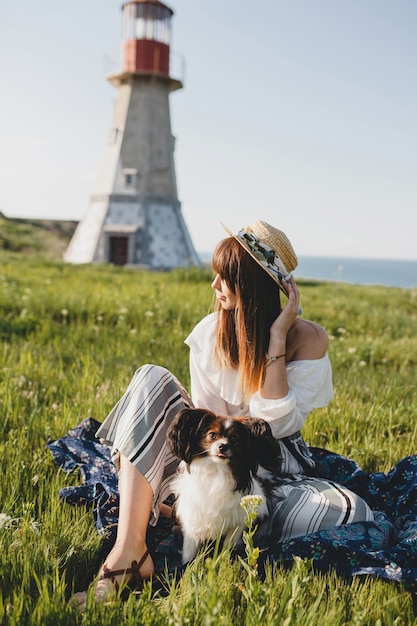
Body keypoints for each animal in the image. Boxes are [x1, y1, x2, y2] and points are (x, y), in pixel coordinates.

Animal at [166, 408, 280, 564]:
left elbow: (228, 546)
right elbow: (189, 551)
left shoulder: (237, 523)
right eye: (212, 435)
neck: (217, 470)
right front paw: (187, 565)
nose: (223, 446)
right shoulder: (192, 520)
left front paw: (224, 562)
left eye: (234, 439)